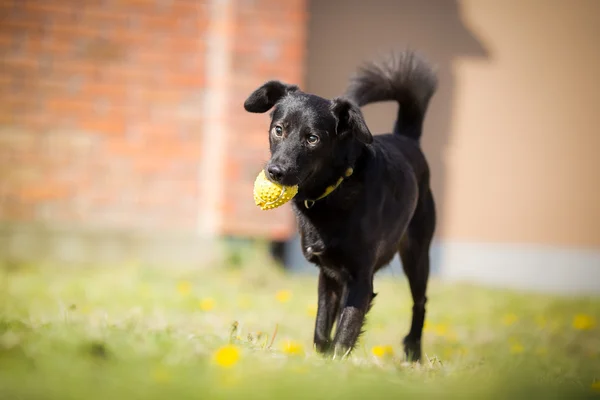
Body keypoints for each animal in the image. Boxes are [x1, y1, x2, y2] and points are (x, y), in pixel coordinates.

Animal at [244, 50, 436, 362]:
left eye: (312, 138)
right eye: (278, 130)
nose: (275, 172)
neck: (333, 192)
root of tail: (406, 138)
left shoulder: (361, 279)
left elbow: (345, 331)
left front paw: (337, 364)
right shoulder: (329, 277)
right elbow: (322, 330)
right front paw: (323, 363)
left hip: (417, 255)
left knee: (420, 302)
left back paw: (413, 353)